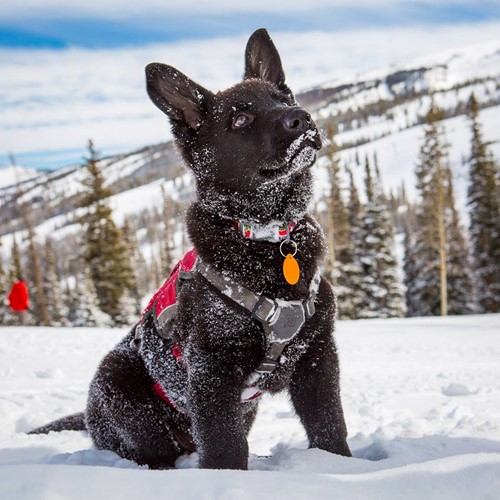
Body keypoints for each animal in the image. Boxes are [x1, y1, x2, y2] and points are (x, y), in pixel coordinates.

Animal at [30, 30, 352, 468]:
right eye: (240, 119)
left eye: (282, 98)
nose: (300, 117)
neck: (265, 236)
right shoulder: (211, 369)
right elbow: (224, 444)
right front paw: (227, 477)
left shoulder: (317, 356)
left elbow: (329, 425)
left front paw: (345, 465)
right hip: (121, 387)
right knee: (155, 451)